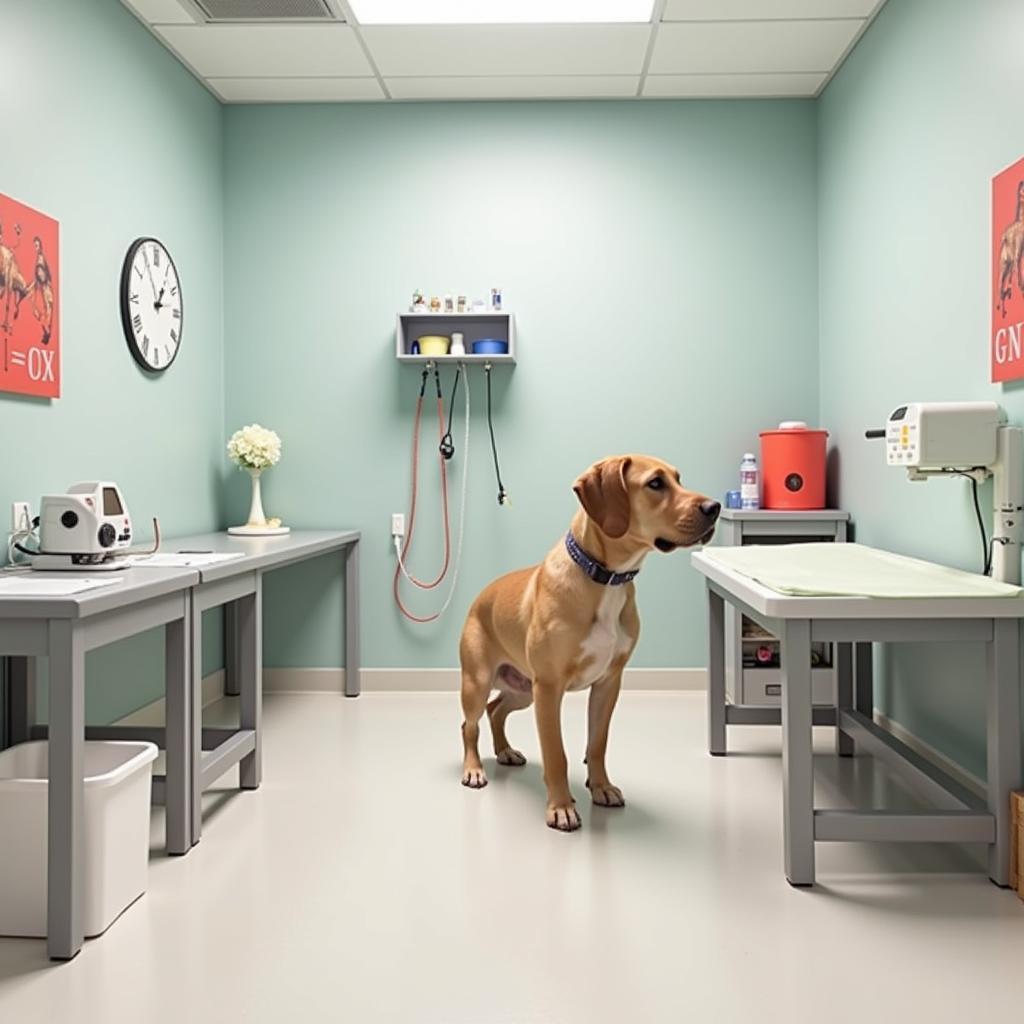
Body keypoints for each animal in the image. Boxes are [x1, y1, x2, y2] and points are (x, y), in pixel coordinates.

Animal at [458, 456, 720, 831]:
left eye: (678, 478)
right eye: (655, 483)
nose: (715, 508)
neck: (606, 578)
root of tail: (480, 596)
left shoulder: (608, 683)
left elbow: (597, 744)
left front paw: (601, 787)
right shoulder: (549, 689)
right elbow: (556, 754)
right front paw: (561, 807)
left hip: (523, 690)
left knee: (495, 711)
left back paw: (505, 750)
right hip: (479, 684)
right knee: (469, 724)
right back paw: (474, 768)